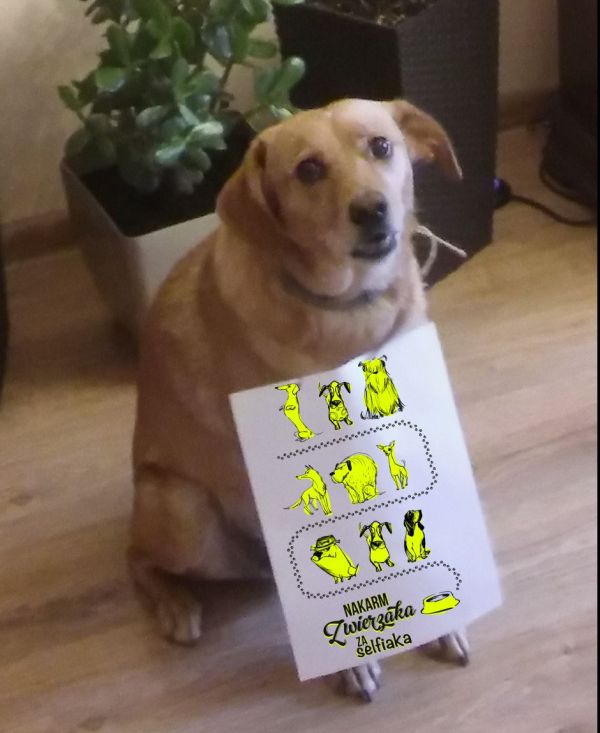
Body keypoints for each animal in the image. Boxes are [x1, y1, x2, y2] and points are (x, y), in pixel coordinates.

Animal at [130, 98, 468, 701]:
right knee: (135, 558)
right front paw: (349, 663)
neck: (352, 310)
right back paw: (175, 603)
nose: (372, 210)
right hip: (182, 510)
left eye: (381, 146)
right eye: (308, 170)